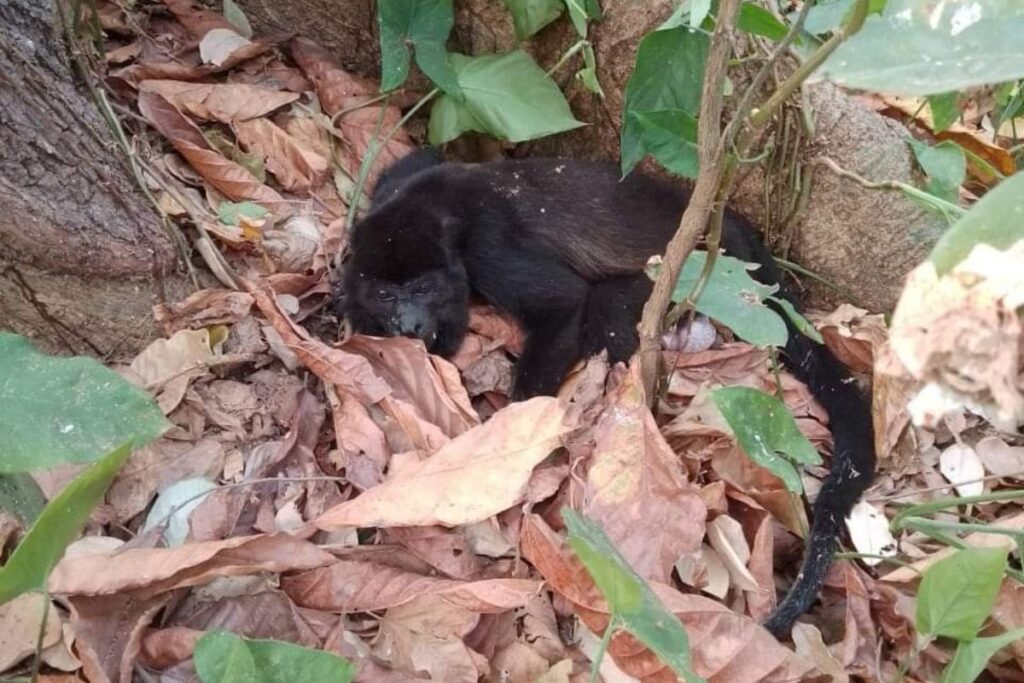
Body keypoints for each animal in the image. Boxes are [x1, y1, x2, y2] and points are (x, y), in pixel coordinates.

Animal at [337, 151, 876, 638]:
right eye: (386, 293)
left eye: (423, 289)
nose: (409, 323)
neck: (440, 212)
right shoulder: (400, 180)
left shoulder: (487, 246)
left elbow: (564, 302)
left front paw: (512, 436)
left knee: (606, 310)